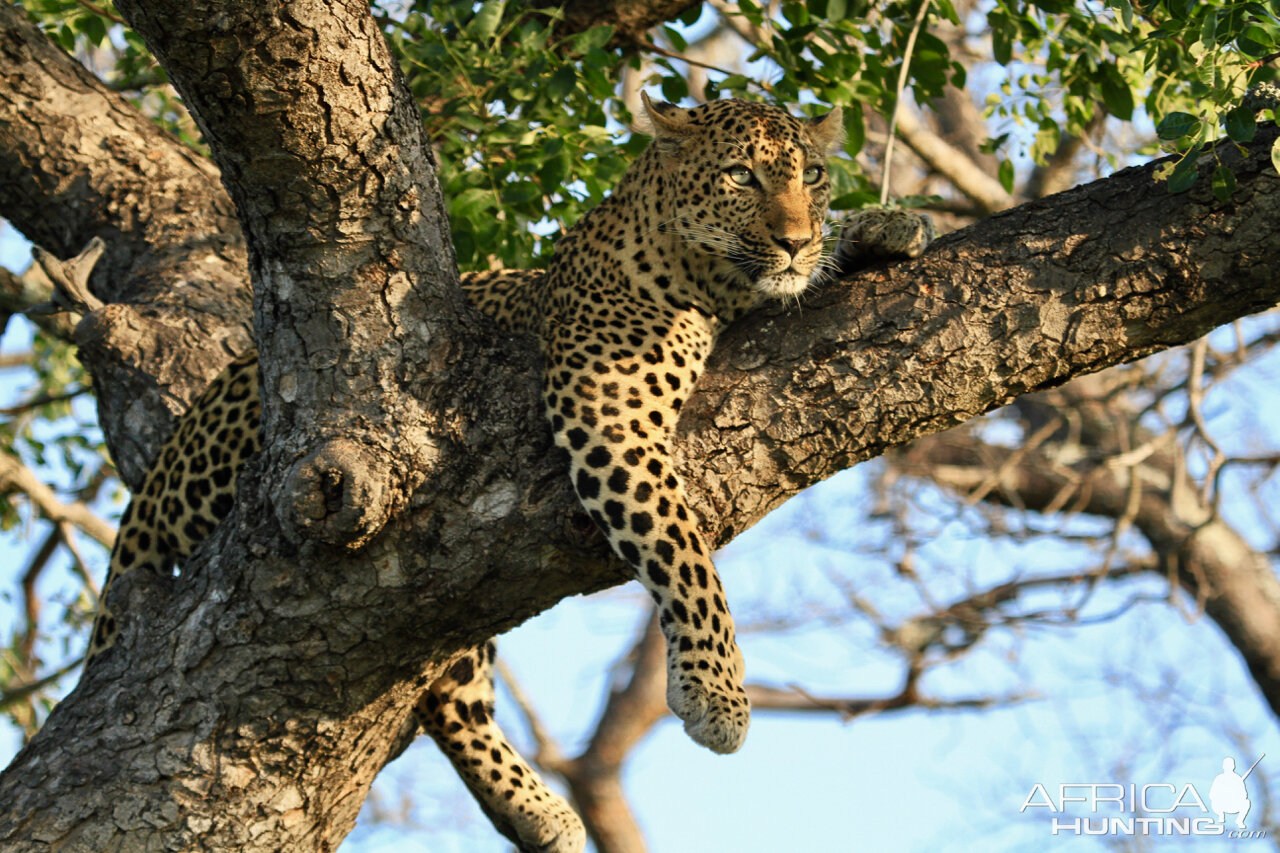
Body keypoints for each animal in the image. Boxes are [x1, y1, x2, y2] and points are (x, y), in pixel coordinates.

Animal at [85, 89, 936, 845]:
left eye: (812, 175)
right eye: (740, 176)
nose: (793, 238)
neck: (708, 280)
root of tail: (163, 465)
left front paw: (883, 226)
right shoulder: (610, 413)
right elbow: (685, 553)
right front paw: (716, 690)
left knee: (453, 684)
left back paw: (535, 809)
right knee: (445, 689)